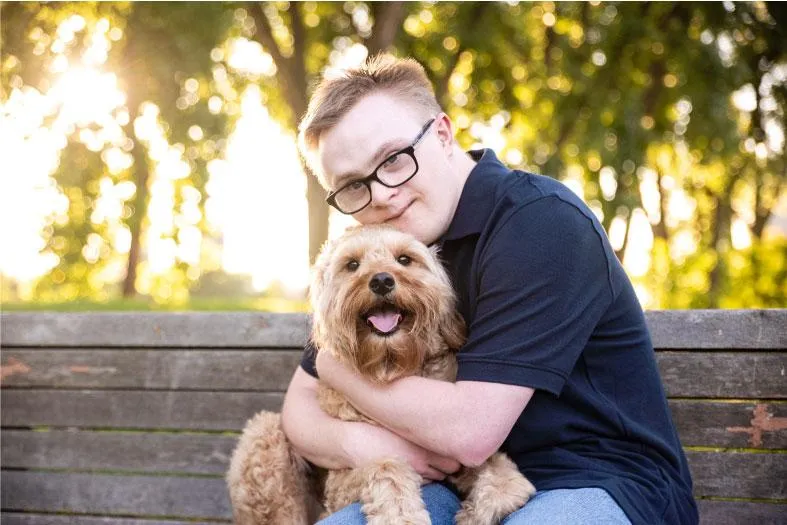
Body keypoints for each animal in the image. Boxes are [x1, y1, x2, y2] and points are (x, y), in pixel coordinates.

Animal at [228, 225, 536, 524]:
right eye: (352, 265)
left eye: (404, 259)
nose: (382, 281)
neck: (392, 367)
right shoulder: (342, 481)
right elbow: (386, 465)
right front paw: (401, 514)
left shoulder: (466, 455)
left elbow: (507, 478)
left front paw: (476, 512)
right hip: (265, 437)